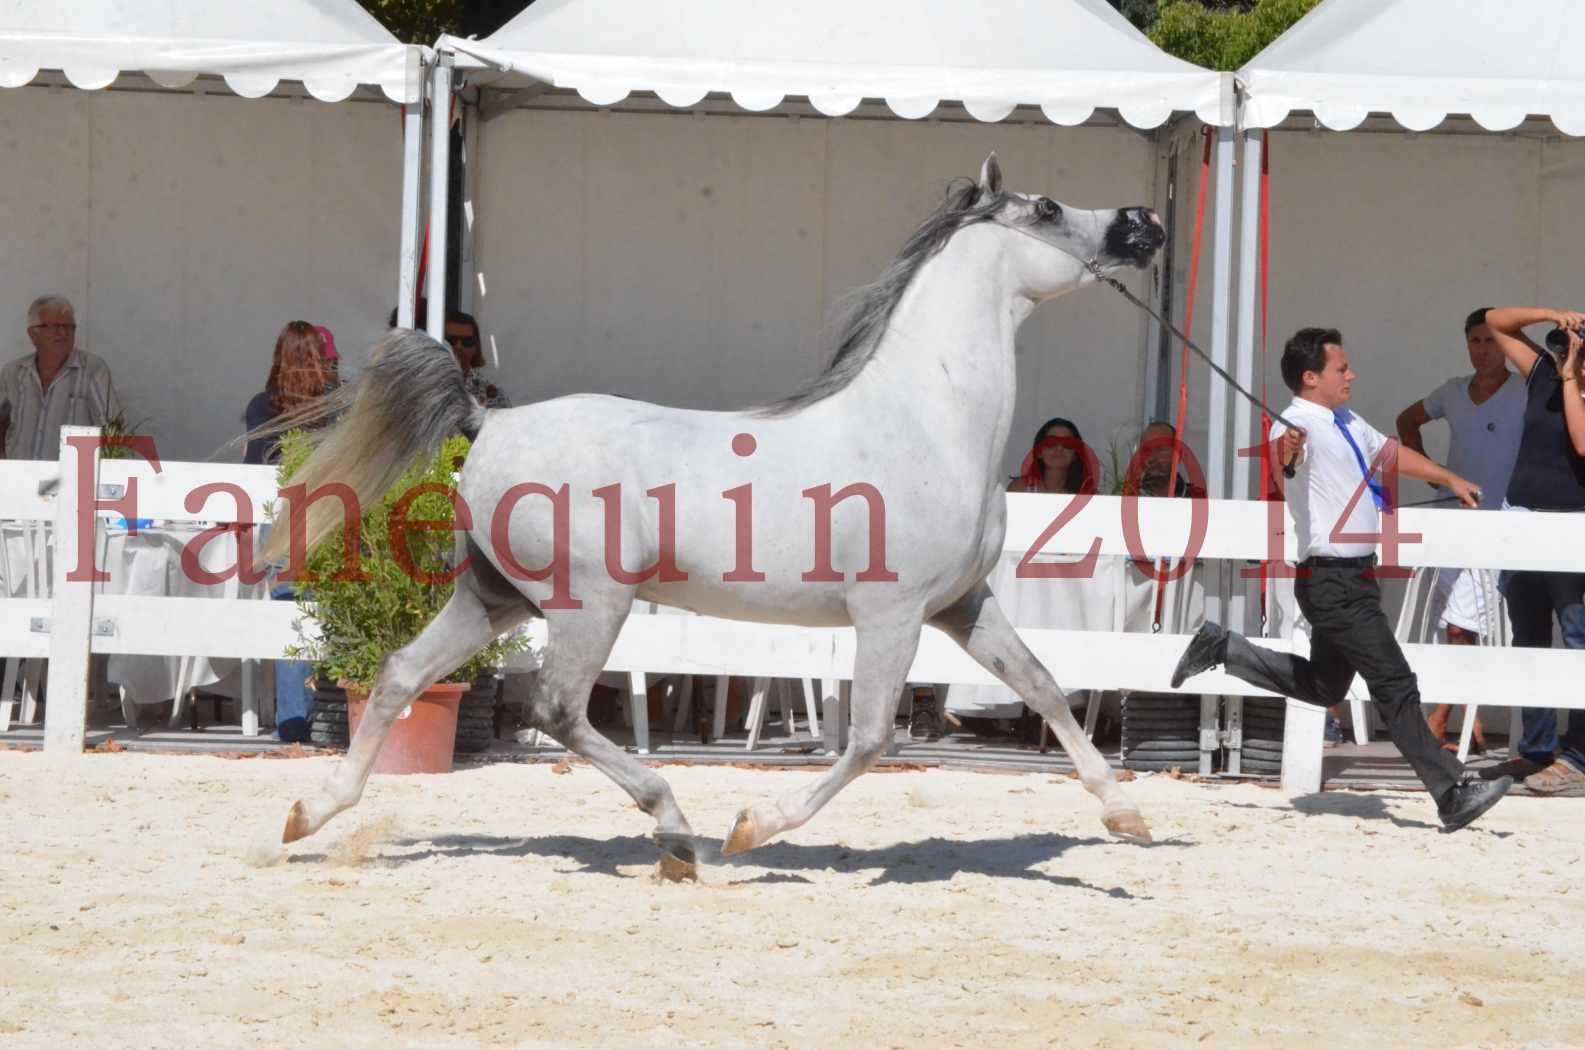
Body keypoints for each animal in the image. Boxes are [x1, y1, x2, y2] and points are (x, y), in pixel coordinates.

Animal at [266, 156, 1166, 881]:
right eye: (1047, 207)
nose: (1144, 223)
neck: (927, 423)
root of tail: (488, 422)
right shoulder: (893, 613)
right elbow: (870, 738)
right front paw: (750, 828)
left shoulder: (962, 605)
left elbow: (1043, 687)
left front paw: (1125, 814)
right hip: (590, 603)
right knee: (555, 710)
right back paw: (676, 834)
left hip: (495, 597)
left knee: (400, 675)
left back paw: (309, 814)